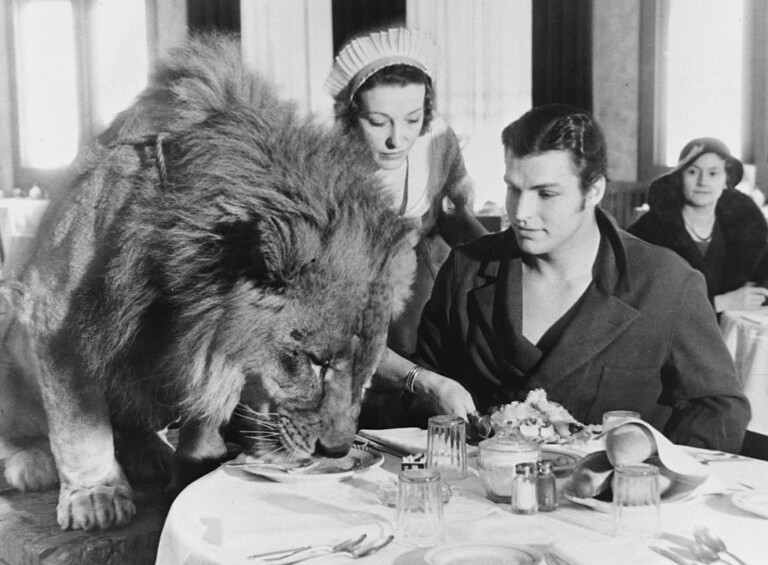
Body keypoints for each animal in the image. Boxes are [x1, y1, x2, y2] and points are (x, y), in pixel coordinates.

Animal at [3, 35, 416, 528]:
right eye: (315, 362)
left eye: (367, 375)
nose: (335, 451)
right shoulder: (56, 311)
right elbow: (79, 422)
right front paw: (95, 496)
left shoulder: (202, 339)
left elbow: (206, 400)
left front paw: (200, 462)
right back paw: (31, 463)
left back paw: (149, 452)